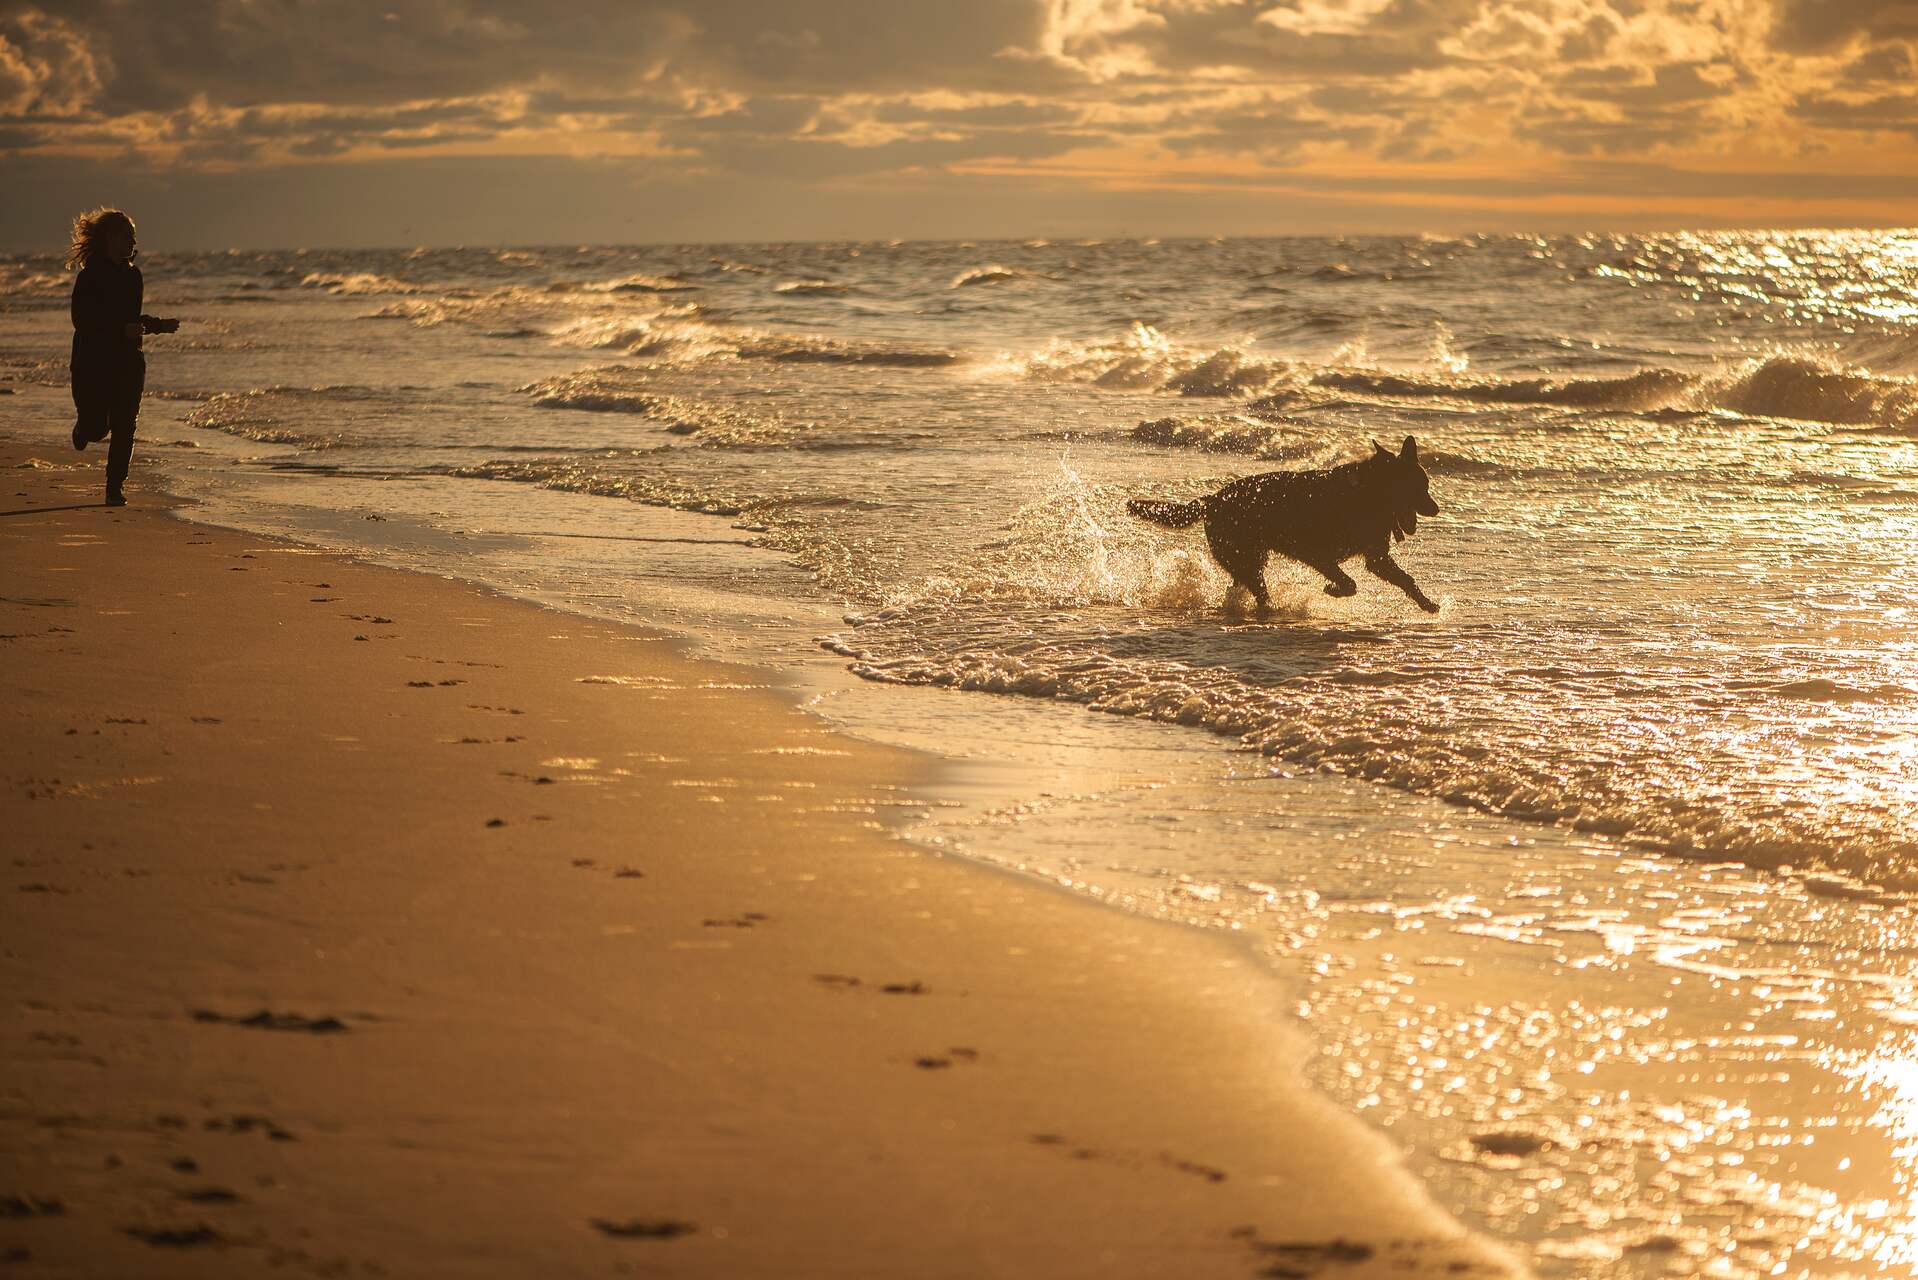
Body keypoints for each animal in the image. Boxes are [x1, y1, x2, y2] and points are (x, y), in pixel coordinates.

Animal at [1120, 437, 1442, 614]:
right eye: (1419, 487)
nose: (1436, 509)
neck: (1367, 493)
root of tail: (1212, 499)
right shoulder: (1317, 555)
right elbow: (1349, 583)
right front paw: (1333, 590)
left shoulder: (1376, 558)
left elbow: (1407, 581)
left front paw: (1427, 603)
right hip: (1246, 558)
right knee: (1258, 591)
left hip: (1247, 559)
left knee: (1240, 587)